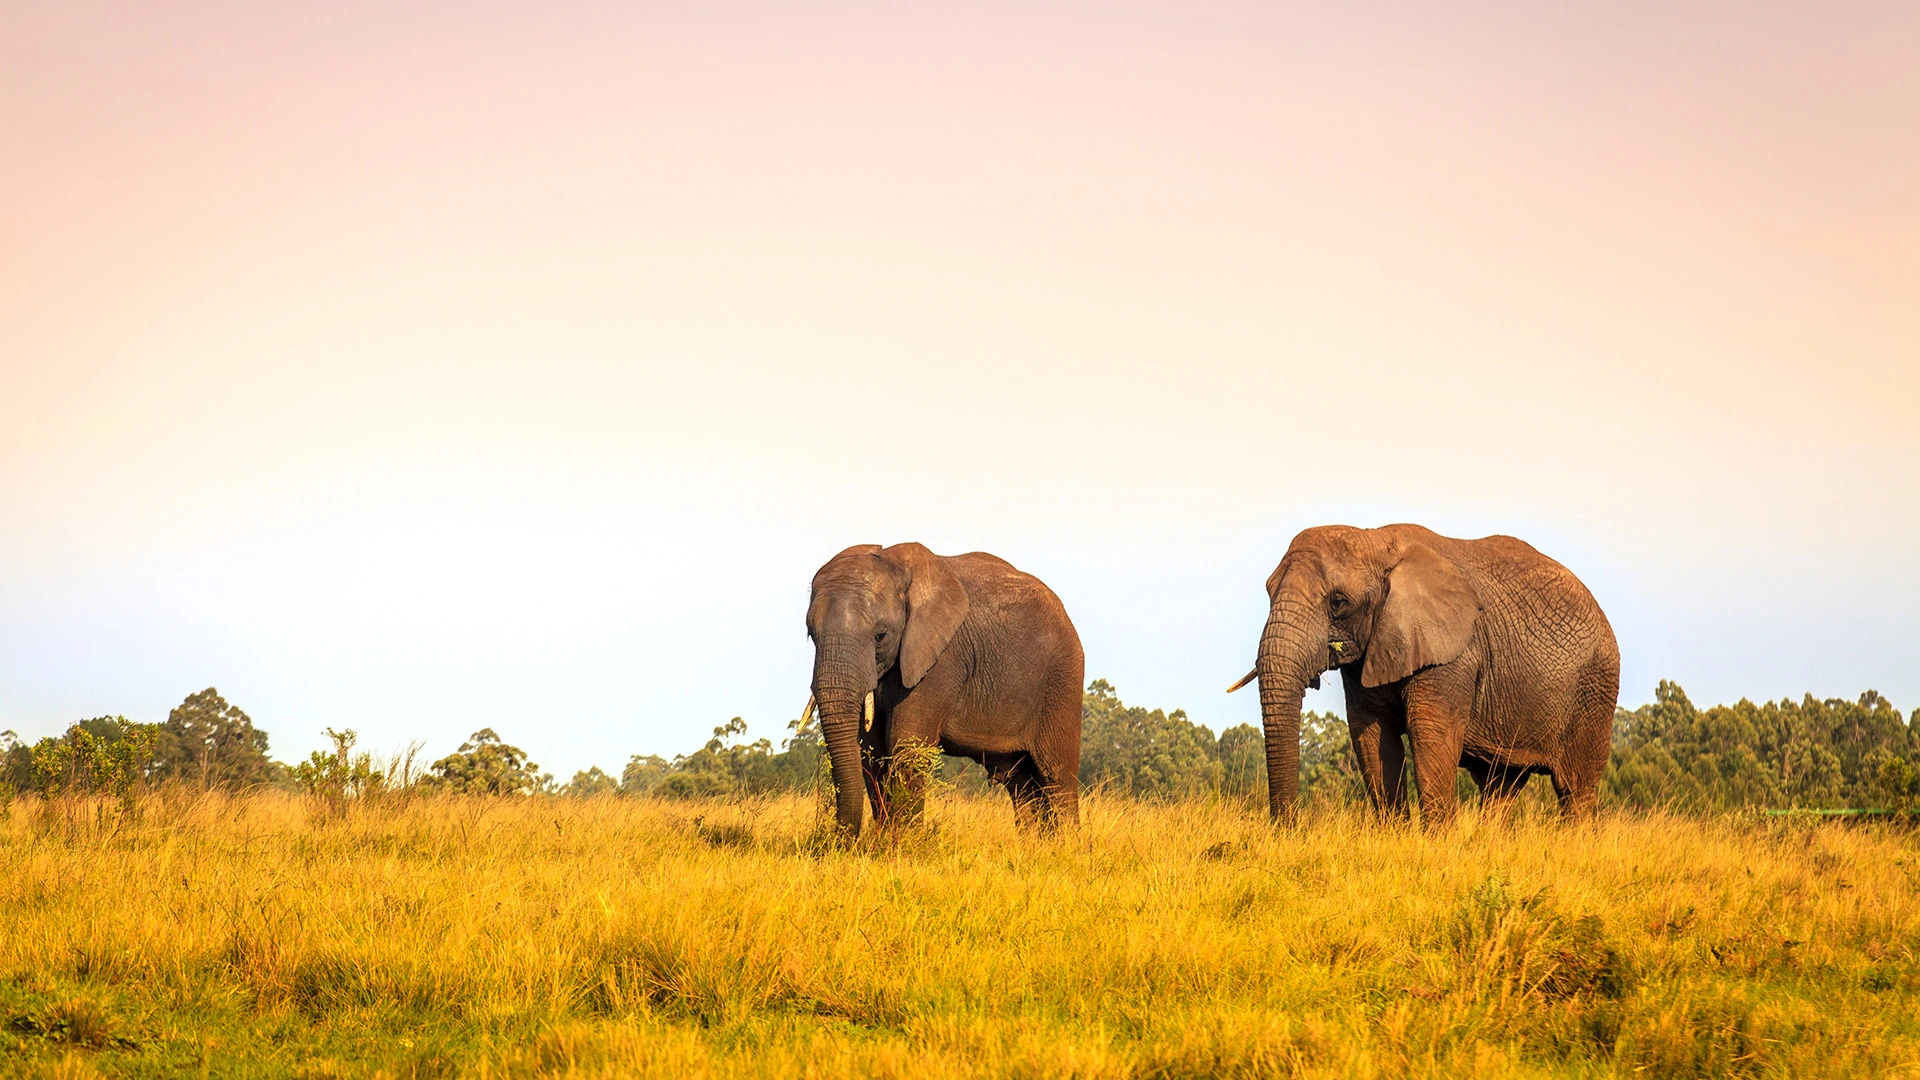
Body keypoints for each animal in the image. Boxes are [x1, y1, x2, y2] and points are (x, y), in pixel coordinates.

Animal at [802, 542, 1084, 836]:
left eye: (880, 636)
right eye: (810, 634)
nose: (844, 839)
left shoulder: (943, 658)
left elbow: (906, 745)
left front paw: (900, 843)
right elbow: (871, 751)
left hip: (1062, 681)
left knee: (1057, 777)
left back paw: (1065, 842)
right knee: (1020, 781)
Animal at [1229, 523, 1619, 822]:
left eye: (1338, 602)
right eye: (1268, 592)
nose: (1288, 829)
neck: (1375, 542)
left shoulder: (1452, 657)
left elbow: (1431, 740)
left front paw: (1437, 845)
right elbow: (1373, 740)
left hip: (1595, 689)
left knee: (1575, 789)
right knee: (1500, 787)